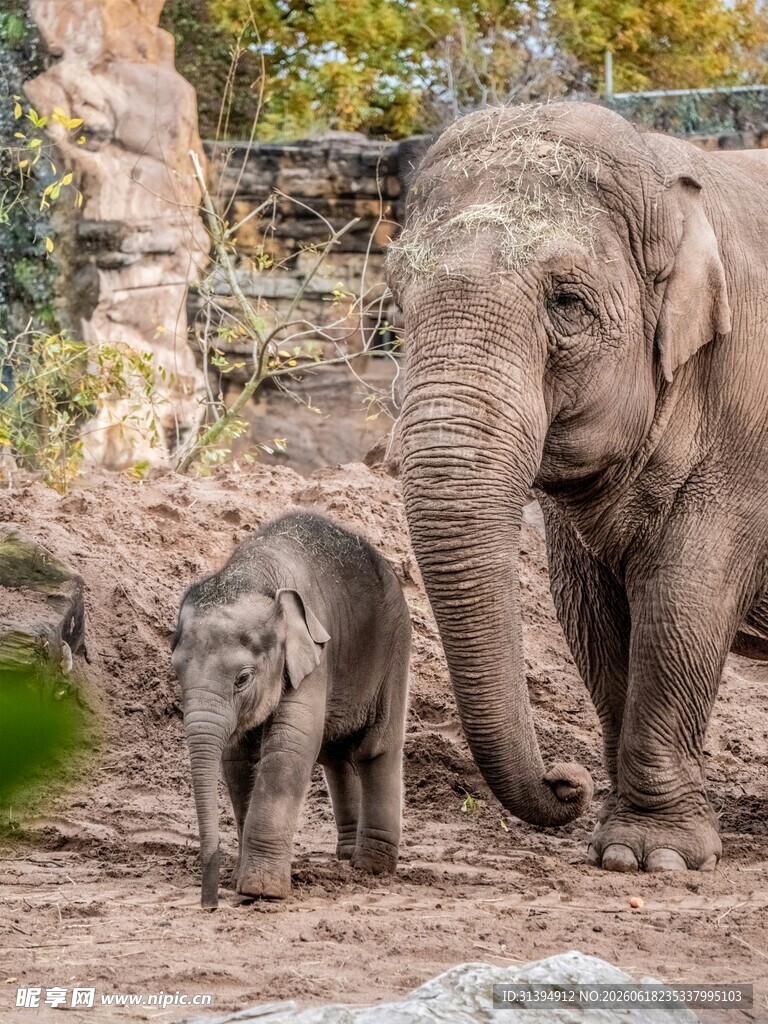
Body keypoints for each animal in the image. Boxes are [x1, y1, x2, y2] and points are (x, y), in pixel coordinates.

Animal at [171, 511, 411, 907]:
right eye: (176, 671)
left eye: (242, 678)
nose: (209, 903)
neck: (254, 575)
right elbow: (237, 759)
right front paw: (239, 880)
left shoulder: (314, 657)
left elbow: (290, 746)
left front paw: (259, 891)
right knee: (335, 756)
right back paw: (346, 855)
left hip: (395, 648)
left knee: (376, 749)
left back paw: (370, 867)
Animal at [386, 102, 768, 874]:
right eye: (396, 299)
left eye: (567, 302)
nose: (568, 783)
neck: (668, 172)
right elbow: (587, 611)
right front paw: (617, 843)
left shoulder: (747, 423)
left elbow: (685, 596)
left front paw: (652, 856)